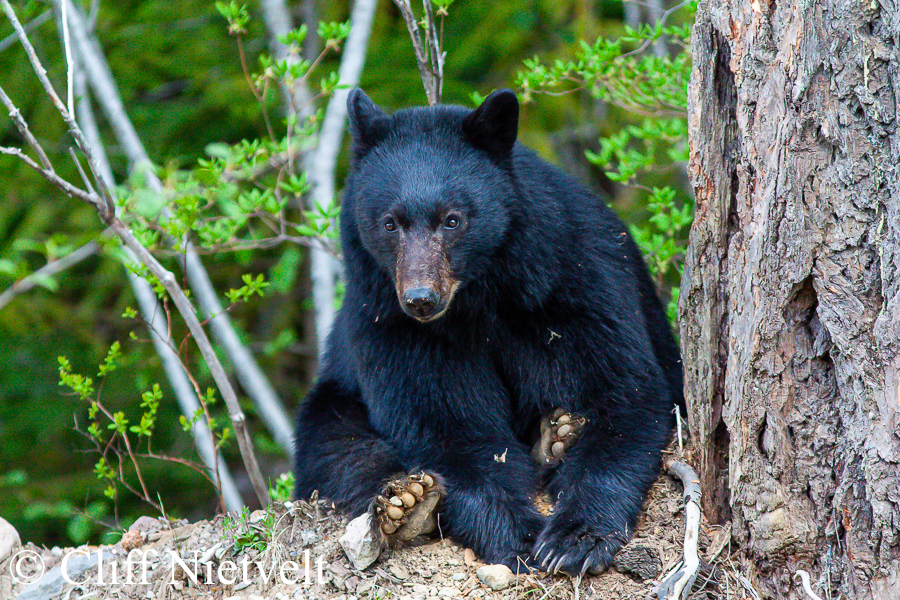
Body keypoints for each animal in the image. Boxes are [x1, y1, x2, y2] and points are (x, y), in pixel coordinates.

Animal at [293, 88, 684, 575]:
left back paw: (555, 438)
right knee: (339, 448)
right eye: (389, 223)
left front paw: (574, 537)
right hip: (333, 399)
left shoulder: (569, 282)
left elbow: (620, 392)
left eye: (452, 219)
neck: (479, 297)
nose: (420, 299)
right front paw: (521, 536)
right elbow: (449, 430)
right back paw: (407, 502)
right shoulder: (392, 326)